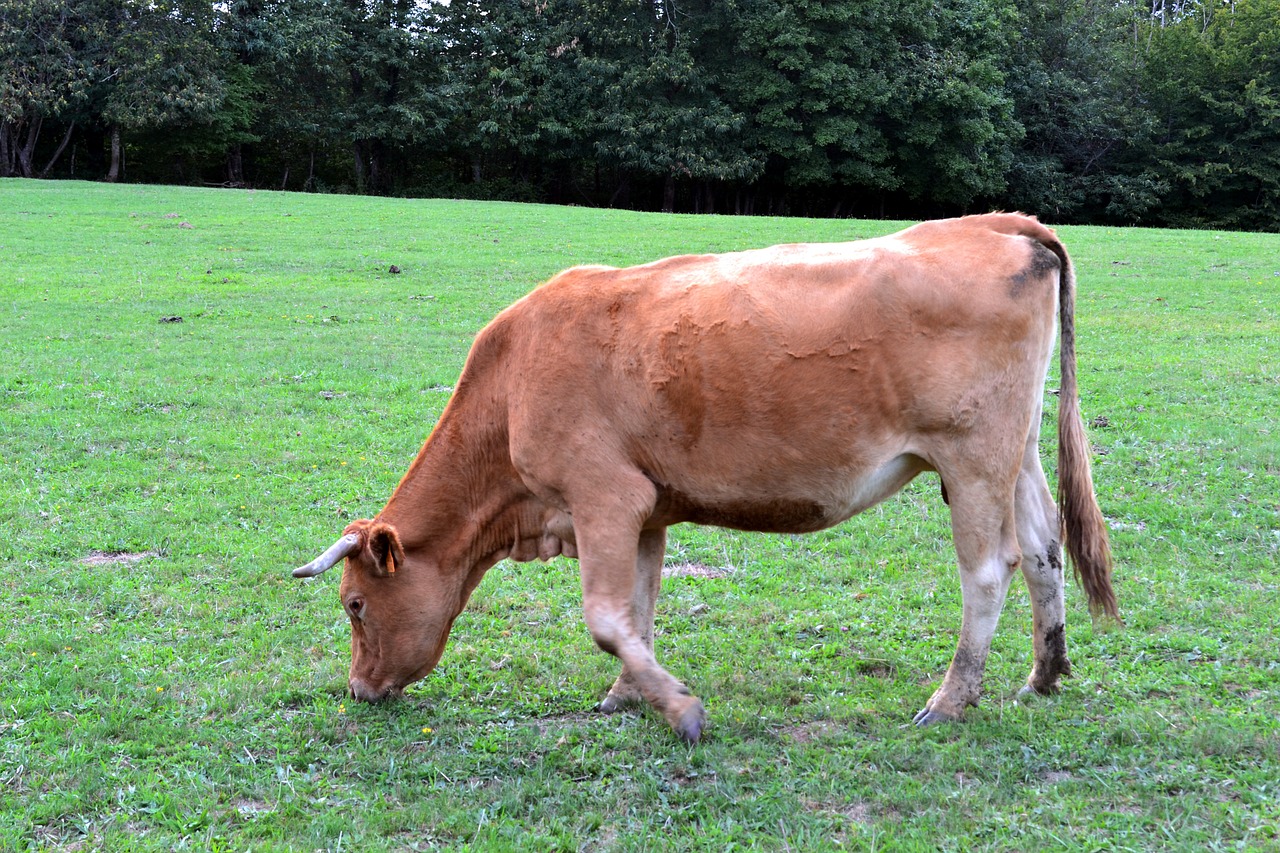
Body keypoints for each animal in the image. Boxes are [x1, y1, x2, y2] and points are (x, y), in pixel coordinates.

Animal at [294, 213, 1116, 742]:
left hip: (970, 456)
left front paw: (681, 711)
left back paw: (950, 698)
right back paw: (1044, 674)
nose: (358, 690)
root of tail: (997, 223)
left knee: (989, 569)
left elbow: (606, 617)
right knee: (1042, 550)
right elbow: (639, 606)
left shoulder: (603, 495)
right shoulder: (646, 509)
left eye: (356, 605)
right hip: (1016, 450)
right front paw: (629, 695)